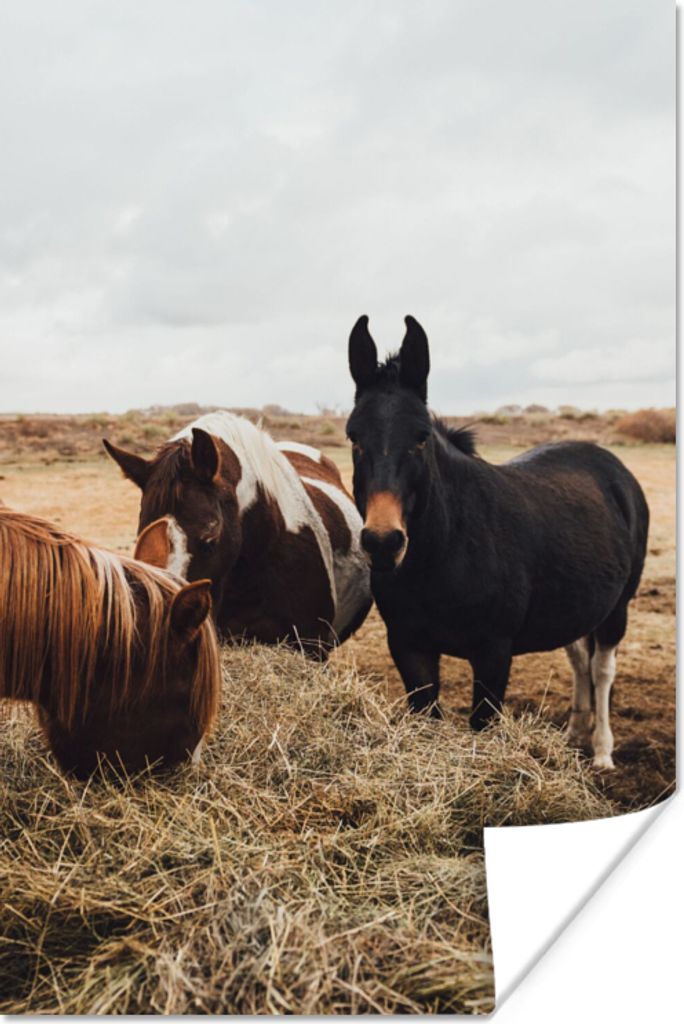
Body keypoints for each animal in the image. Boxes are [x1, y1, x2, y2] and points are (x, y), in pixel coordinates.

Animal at [346, 315, 649, 769]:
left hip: (618, 608)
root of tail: (615, 469)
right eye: (353, 438)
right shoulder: (408, 646)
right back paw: (573, 735)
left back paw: (601, 752)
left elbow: (482, 723)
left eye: (421, 437)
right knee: (580, 661)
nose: (383, 543)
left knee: (601, 669)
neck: (446, 552)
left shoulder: (493, 653)